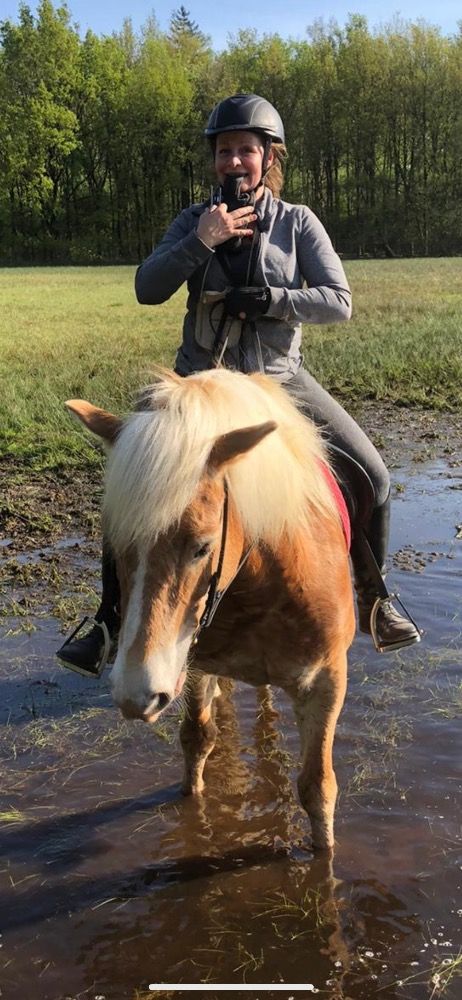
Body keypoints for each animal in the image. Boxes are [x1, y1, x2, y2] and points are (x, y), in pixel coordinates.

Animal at [66, 367, 355, 849]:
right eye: (113, 545)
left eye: (202, 546)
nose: (135, 695)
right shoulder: (195, 664)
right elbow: (198, 740)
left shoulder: (327, 680)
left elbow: (318, 788)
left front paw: (324, 856)